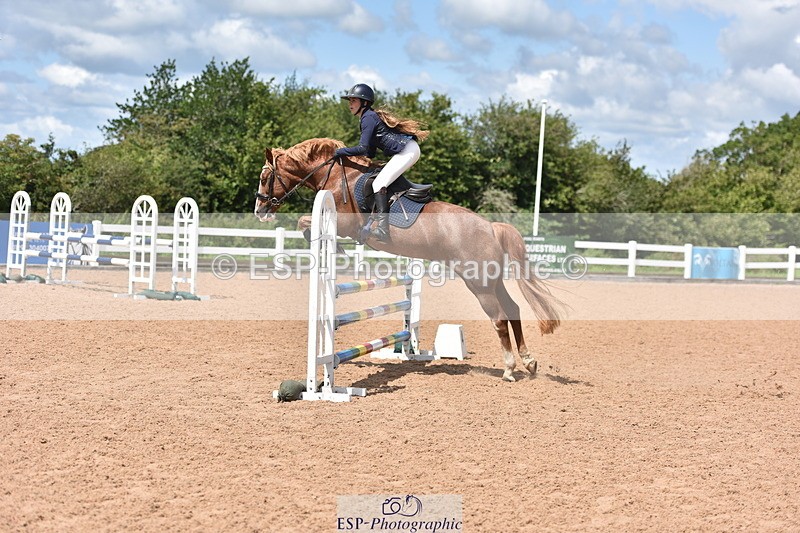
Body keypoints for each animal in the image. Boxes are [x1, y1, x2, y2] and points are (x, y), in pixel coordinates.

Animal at [254, 137, 564, 381]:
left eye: (264, 177)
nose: (259, 210)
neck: (338, 177)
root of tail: (491, 227)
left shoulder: (345, 224)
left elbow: (304, 222)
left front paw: (334, 249)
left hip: (479, 284)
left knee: (499, 318)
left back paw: (509, 369)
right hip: (492, 280)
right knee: (513, 310)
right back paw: (529, 362)